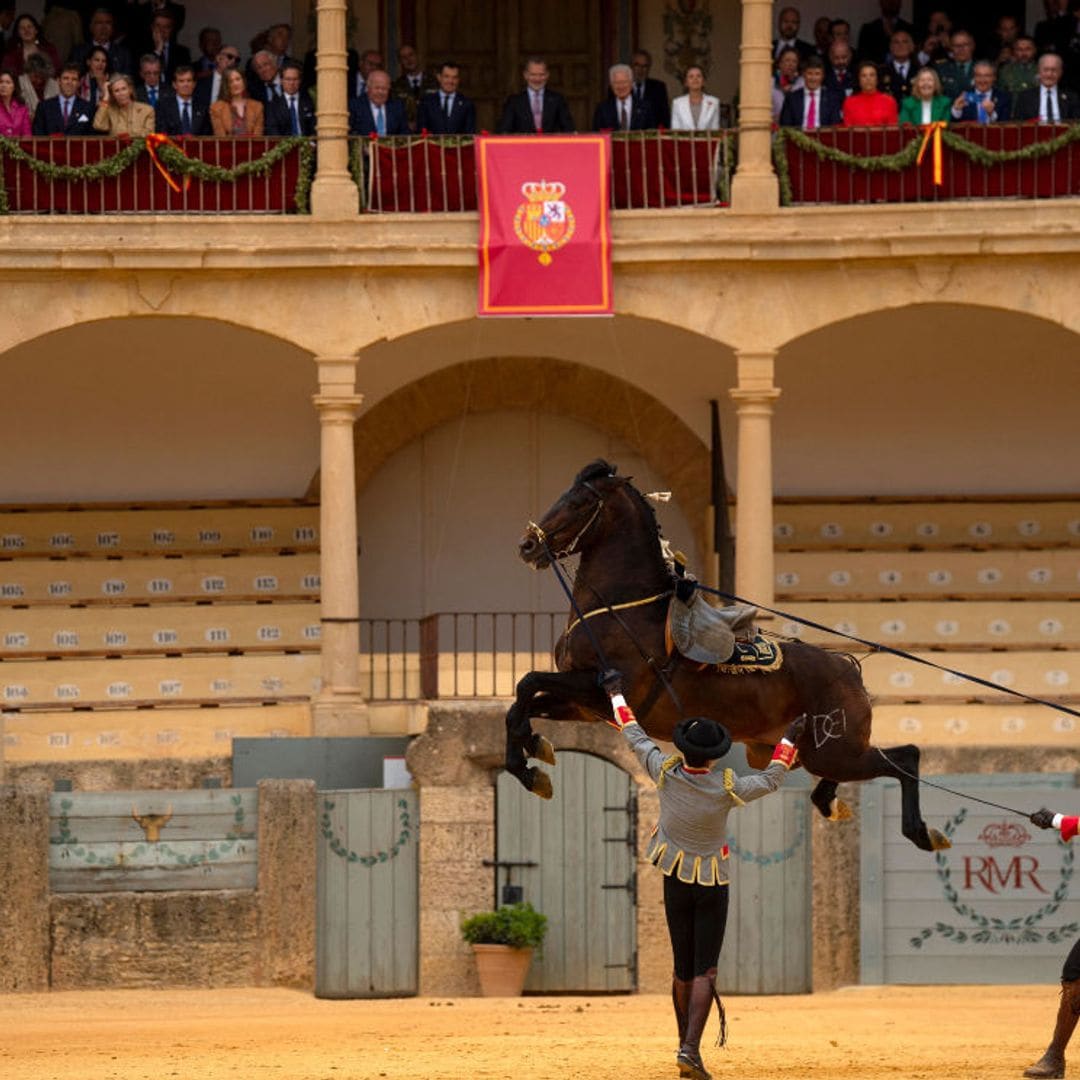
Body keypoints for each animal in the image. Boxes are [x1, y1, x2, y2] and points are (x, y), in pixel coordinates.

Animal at [501, 455, 950, 851]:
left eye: (578, 502)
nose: (526, 544)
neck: (622, 608)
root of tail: (848, 667)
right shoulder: (584, 706)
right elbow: (522, 701)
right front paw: (530, 754)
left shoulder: (601, 690)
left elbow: (527, 683)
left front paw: (529, 755)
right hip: (821, 753)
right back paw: (835, 804)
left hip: (838, 752)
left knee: (907, 757)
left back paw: (922, 832)